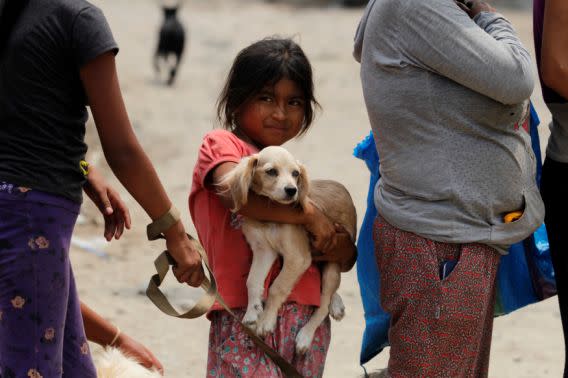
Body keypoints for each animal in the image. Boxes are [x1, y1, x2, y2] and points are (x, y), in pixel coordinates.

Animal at [221, 145, 358, 354]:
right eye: (271, 171)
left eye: (295, 174)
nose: (292, 190)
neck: (270, 216)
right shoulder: (263, 251)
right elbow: (252, 281)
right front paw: (252, 312)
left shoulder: (298, 258)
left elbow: (277, 287)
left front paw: (266, 320)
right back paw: (337, 304)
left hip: (332, 264)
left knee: (323, 304)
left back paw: (306, 336)